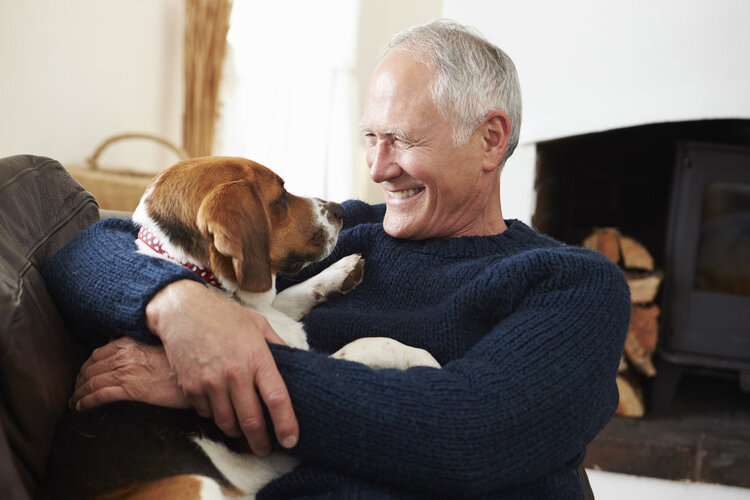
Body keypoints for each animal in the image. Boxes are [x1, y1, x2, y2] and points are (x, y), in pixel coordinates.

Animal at [39, 157, 440, 500]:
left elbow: (289, 297)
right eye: (280, 198)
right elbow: (362, 346)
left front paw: (338, 273)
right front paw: (417, 357)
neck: (204, 277)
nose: (340, 211)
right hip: (196, 483)